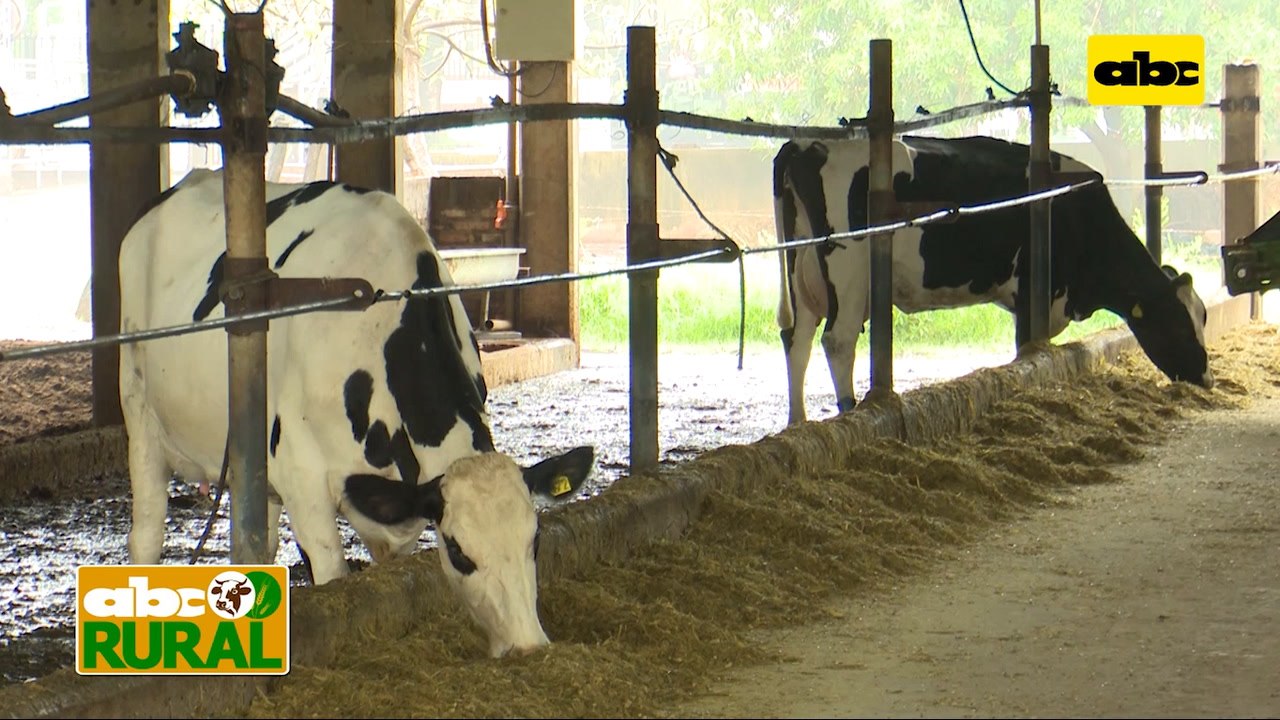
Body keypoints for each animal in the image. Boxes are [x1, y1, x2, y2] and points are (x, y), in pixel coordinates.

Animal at [118, 168, 595, 658]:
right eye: (459, 550)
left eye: (535, 540)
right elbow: (331, 574)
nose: (529, 646)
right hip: (139, 411)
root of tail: (187, 183)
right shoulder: (302, 478)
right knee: (146, 537)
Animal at [774, 135, 1213, 425]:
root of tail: (809, 144)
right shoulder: (1034, 294)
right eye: (1178, 324)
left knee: (797, 340)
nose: (1207, 378)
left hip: (802, 272)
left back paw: (797, 423)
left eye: (1203, 317)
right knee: (838, 340)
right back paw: (847, 410)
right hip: (847, 272)